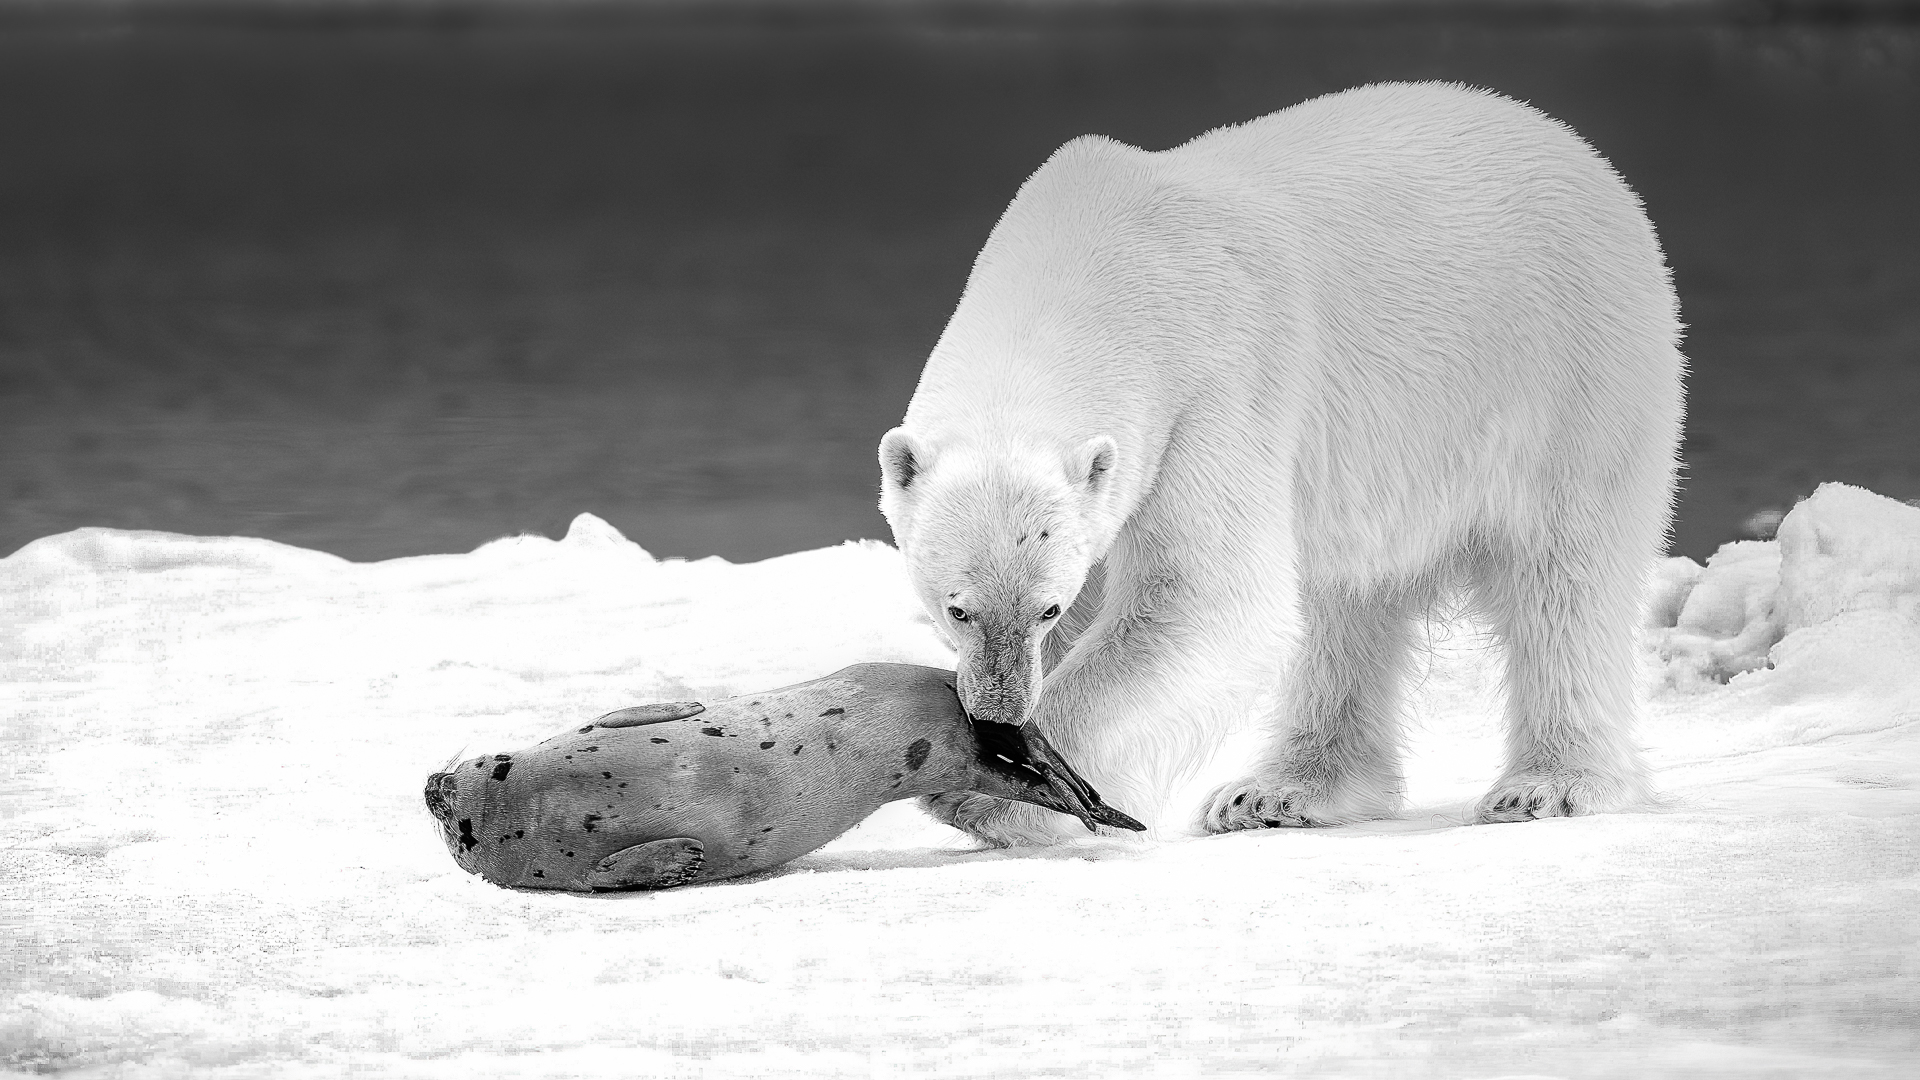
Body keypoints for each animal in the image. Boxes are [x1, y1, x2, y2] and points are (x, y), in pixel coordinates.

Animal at [877, 82, 1685, 847]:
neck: (1094, 264)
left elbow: (1204, 595)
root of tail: (1577, 149)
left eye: (1041, 607)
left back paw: (1548, 783)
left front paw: (990, 792)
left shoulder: (1216, 387)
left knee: (1563, 576)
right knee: (1343, 598)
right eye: (956, 608)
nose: (999, 715)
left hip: (1570, 376)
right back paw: (1277, 792)